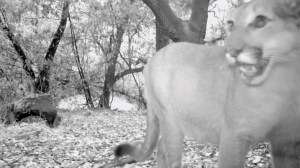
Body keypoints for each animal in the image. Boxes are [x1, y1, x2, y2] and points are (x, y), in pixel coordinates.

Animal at [113, 0, 300, 167]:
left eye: (260, 21)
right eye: (231, 24)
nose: (232, 51)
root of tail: (151, 60)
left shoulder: (287, 142)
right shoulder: (233, 137)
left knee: (161, 145)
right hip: (170, 120)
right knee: (169, 152)